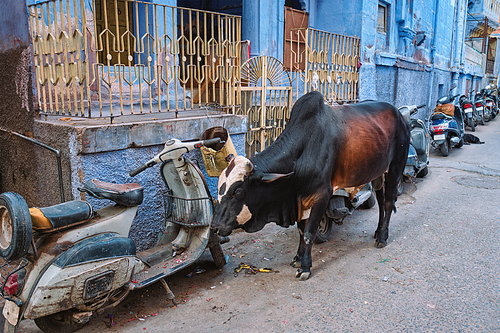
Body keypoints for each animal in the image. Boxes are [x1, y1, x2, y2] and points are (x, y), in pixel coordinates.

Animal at [211, 89, 410, 278]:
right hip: (378, 172)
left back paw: (382, 237)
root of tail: (400, 116)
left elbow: (308, 233)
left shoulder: (322, 195)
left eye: (237, 191)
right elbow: (301, 230)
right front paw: (298, 258)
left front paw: (305, 267)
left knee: (389, 201)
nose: (214, 227)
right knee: (382, 200)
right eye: (219, 191)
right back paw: (378, 231)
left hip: (395, 167)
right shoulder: (300, 199)